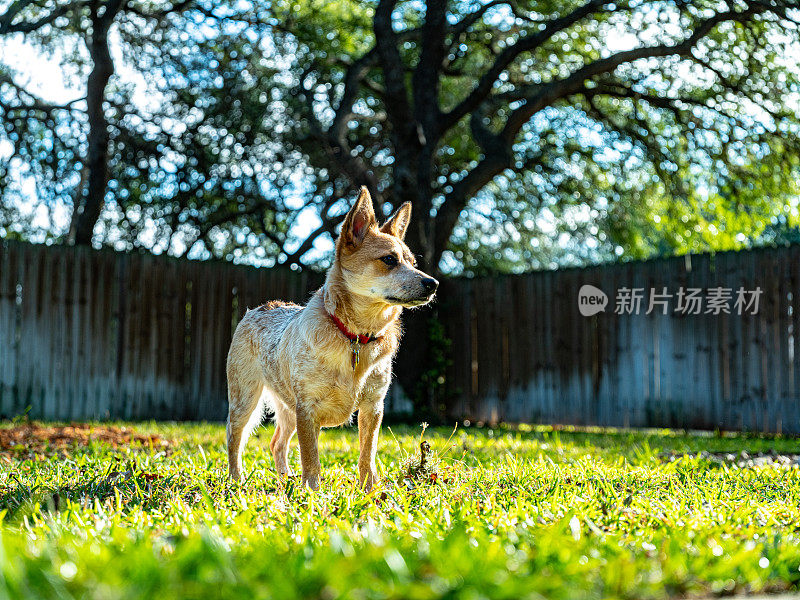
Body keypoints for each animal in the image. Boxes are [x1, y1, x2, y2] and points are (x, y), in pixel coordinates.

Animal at [223, 188, 438, 492]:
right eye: (389, 260)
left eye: (413, 263)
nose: (433, 284)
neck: (356, 337)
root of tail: (260, 307)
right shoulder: (307, 409)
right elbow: (311, 458)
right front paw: (312, 493)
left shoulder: (373, 407)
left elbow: (367, 455)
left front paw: (370, 491)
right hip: (245, 399)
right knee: (234, 437)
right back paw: (236, 479)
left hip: (287, 410)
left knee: (277, 443)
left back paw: (285, 479)